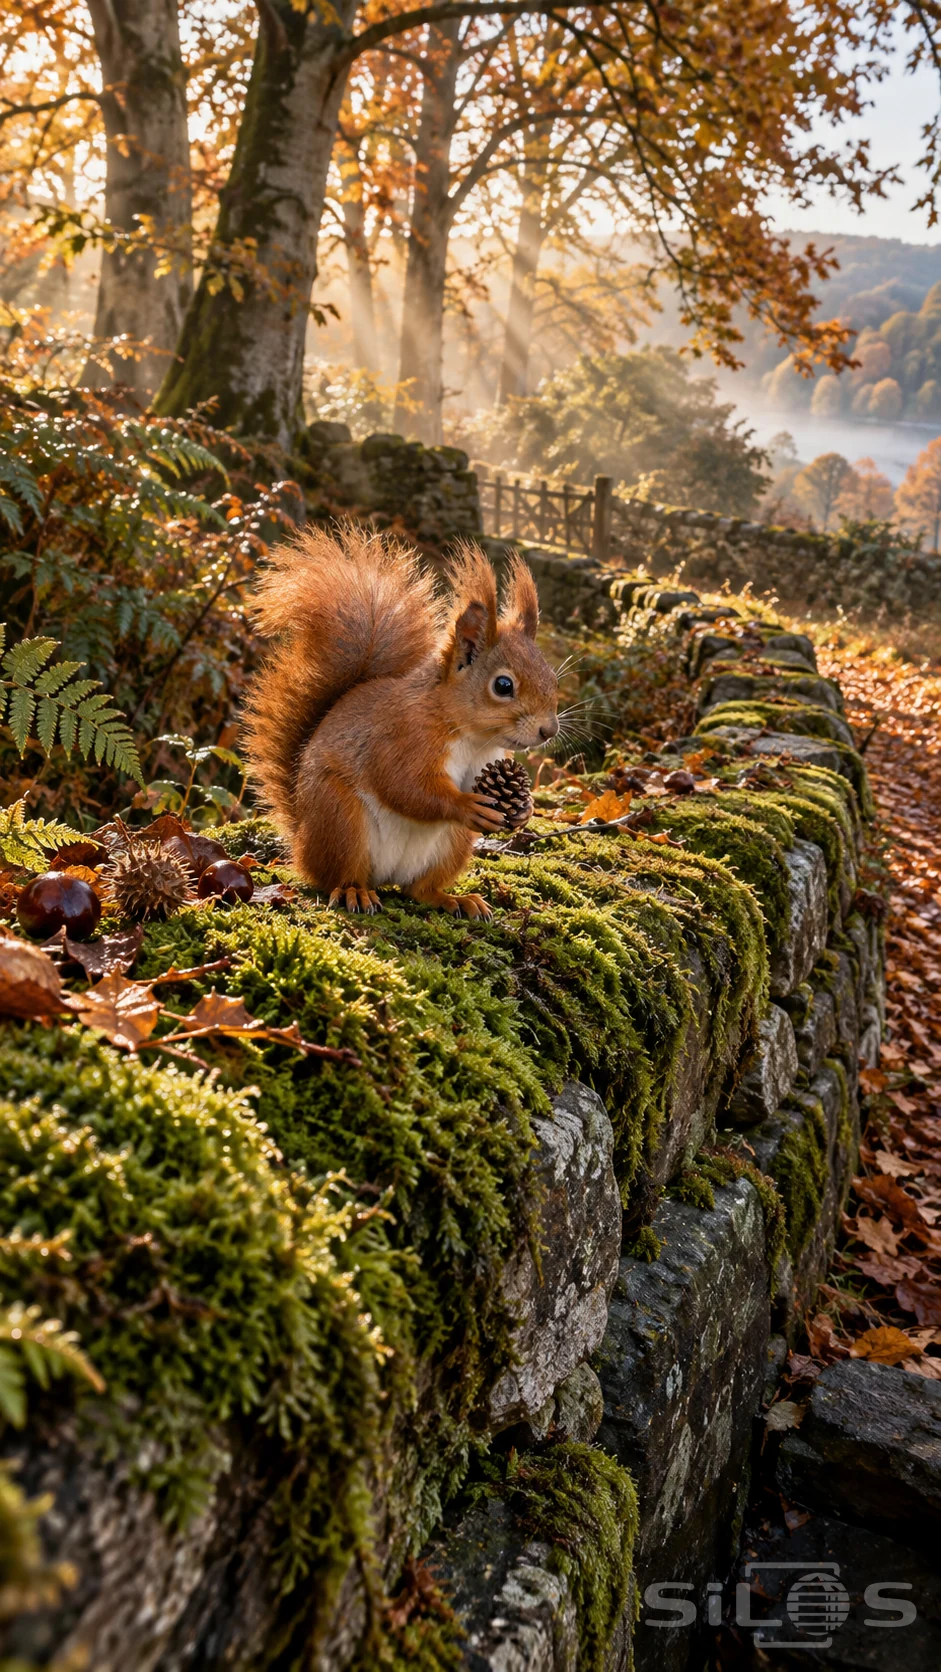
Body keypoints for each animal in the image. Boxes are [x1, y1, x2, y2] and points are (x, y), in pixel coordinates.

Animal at [244, 524, 559, 917]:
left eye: (552, 676)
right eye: (503, 685)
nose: (549, 730)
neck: (471, 736)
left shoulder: (486, 762)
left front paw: (524, 809)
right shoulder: (402, 737)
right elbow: (403, 785)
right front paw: (464, 805)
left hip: (452, 843)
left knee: (418, 890)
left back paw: (453, 898)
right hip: (340, 818)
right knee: (339, 875)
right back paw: (354, 893)